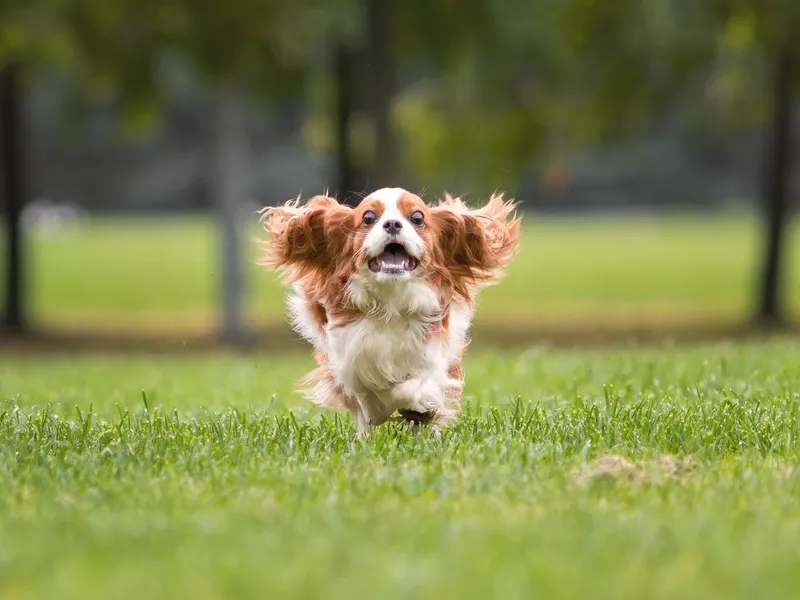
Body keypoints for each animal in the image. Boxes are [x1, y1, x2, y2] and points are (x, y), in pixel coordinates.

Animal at [260, 189, 520, 436]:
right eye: (368, 218)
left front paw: (416, 408)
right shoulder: (348, 356)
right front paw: (378, 410)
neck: (390, 302)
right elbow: (366, 394)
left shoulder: (433, 352)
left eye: (417, 217)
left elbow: (413, 388)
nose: (393, 223)